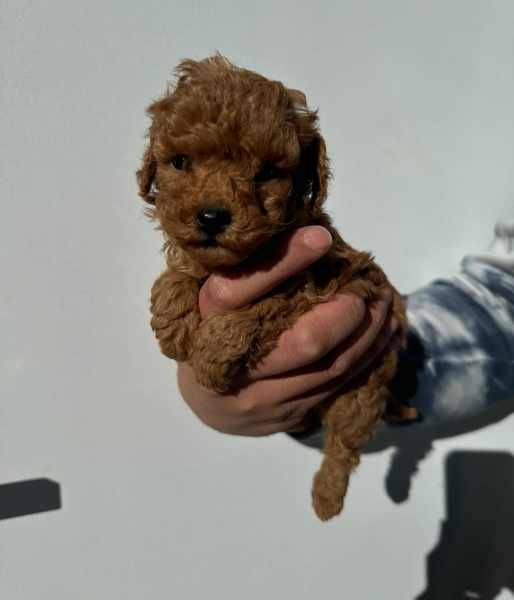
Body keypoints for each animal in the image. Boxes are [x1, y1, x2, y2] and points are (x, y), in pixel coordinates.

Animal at [136, 56, 412, 520]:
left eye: (265, 174)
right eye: (180, 162)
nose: (212, 217)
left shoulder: (326, 286)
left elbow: (266, 303)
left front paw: (209, 356)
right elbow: (176, 274)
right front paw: (174, 325)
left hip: (361, 393)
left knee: (343, 447)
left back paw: (328, 497)